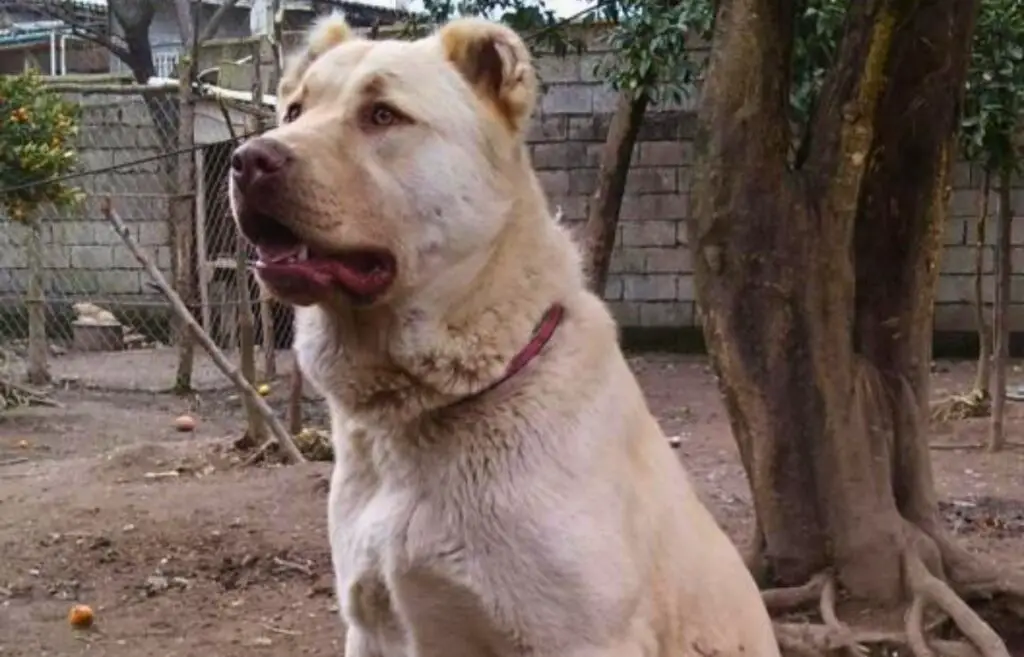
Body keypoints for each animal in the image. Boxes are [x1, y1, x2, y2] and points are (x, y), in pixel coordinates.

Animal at [230, 14, 774, 654]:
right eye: (293, 111)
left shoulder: (584, 638)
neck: (425, 409)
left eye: (383, 115)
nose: (248, 159)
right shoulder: (368, 624)